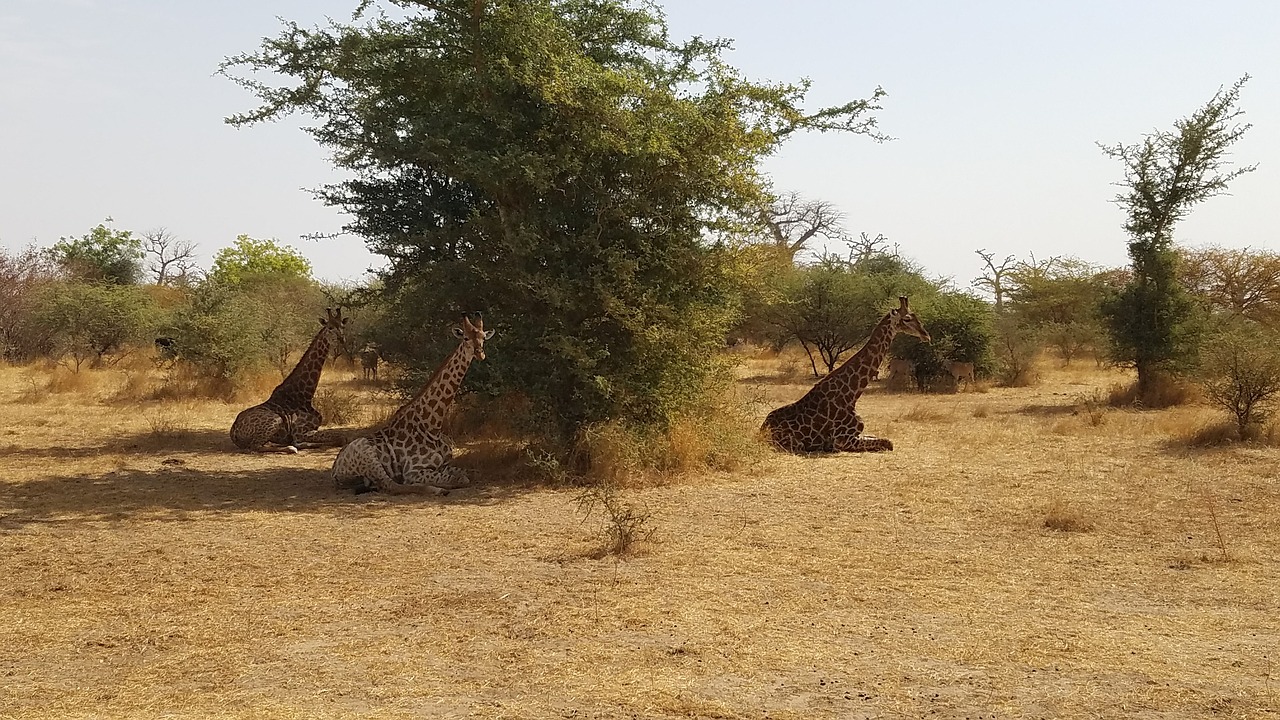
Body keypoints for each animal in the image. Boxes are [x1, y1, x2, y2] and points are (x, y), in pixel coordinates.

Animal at [229, 304, 350, 450]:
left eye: (342, 326)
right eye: (330, 328)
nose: (342, 339)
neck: (305, 396)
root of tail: (233, 431)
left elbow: (342, 437)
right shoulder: (300, 432)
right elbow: (340, 438)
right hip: (275, 419)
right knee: (256, 446)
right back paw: (291, 448)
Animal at [332, 313, 496, 491]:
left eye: (483, 337)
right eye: (466, 338)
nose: (480, 354)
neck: (432, 425)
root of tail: (335, 470)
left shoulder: (445, 464)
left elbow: (471, 473)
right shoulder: (412, 471)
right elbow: (460, 479)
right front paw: (444, 484)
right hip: (367, 453)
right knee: (392, 485)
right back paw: (436, 490)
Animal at [757, 294, 931, 450]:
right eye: (907, 319)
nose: (926, 335)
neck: (852, 395)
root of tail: (762, 429)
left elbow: (885, 440)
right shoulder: (843, 440)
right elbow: (888, 443)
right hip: (794, 443)